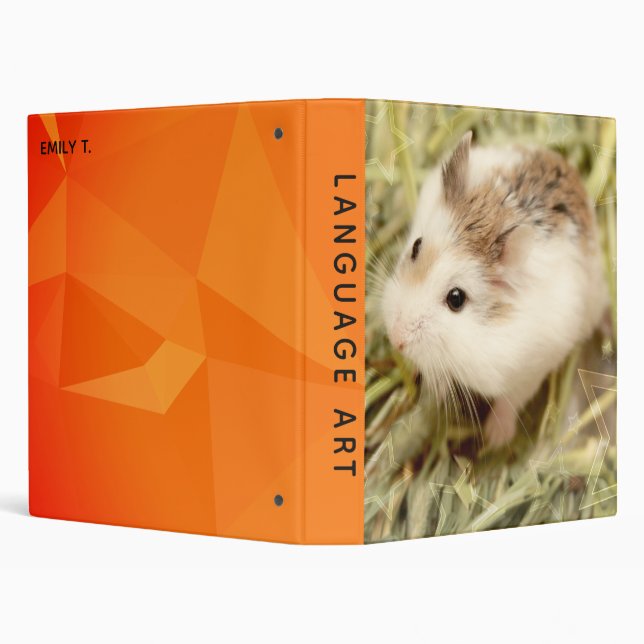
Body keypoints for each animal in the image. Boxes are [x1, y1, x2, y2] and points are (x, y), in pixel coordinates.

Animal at [382, 131, 608, 447]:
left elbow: (510, 402)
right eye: (415, 247)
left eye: (456, 299)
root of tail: (565, 165)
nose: (395, 338)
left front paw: (494, 439)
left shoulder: (529, 370)